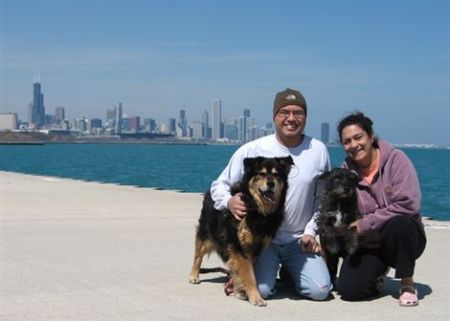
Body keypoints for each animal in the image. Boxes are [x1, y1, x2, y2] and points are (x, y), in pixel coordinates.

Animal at [188, 156, 294, 306]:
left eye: (276, 174)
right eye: (261, 174)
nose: (271, 183)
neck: (256, 209)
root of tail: (209, 190)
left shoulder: (256, 247)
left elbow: (243, 272)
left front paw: (239, 291)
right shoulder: (239, 245)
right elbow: (249, 275)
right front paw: (255, 297)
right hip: (206, 234)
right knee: (198, 255)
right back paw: (193, 275)